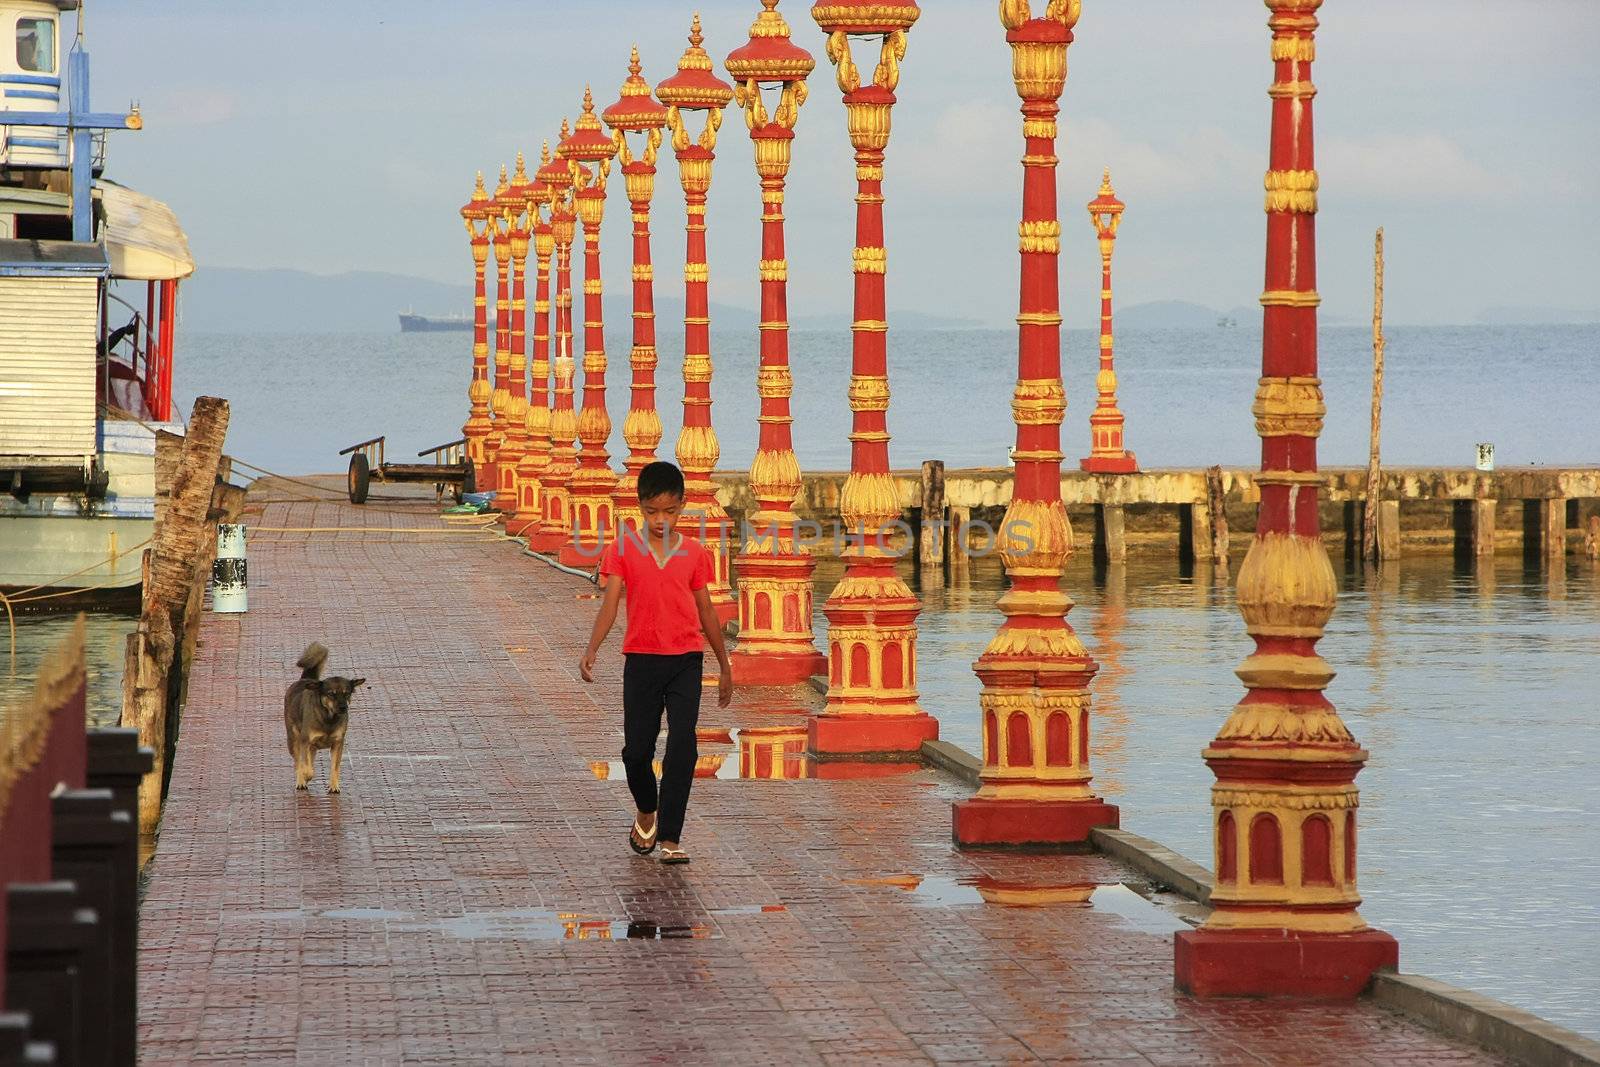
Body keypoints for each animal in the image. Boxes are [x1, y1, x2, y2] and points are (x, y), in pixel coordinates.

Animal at [288, 643, 366, 793]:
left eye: (347, 694)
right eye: (331, 694)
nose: (343, 708)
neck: (329, 719)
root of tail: (305, 679)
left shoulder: (337, 744)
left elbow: (335, 767)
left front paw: (334, 786)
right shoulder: (305, 741)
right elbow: (305, 766)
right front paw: (305, 775)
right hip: (293, 740)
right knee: (298, 762)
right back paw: (301, 781)